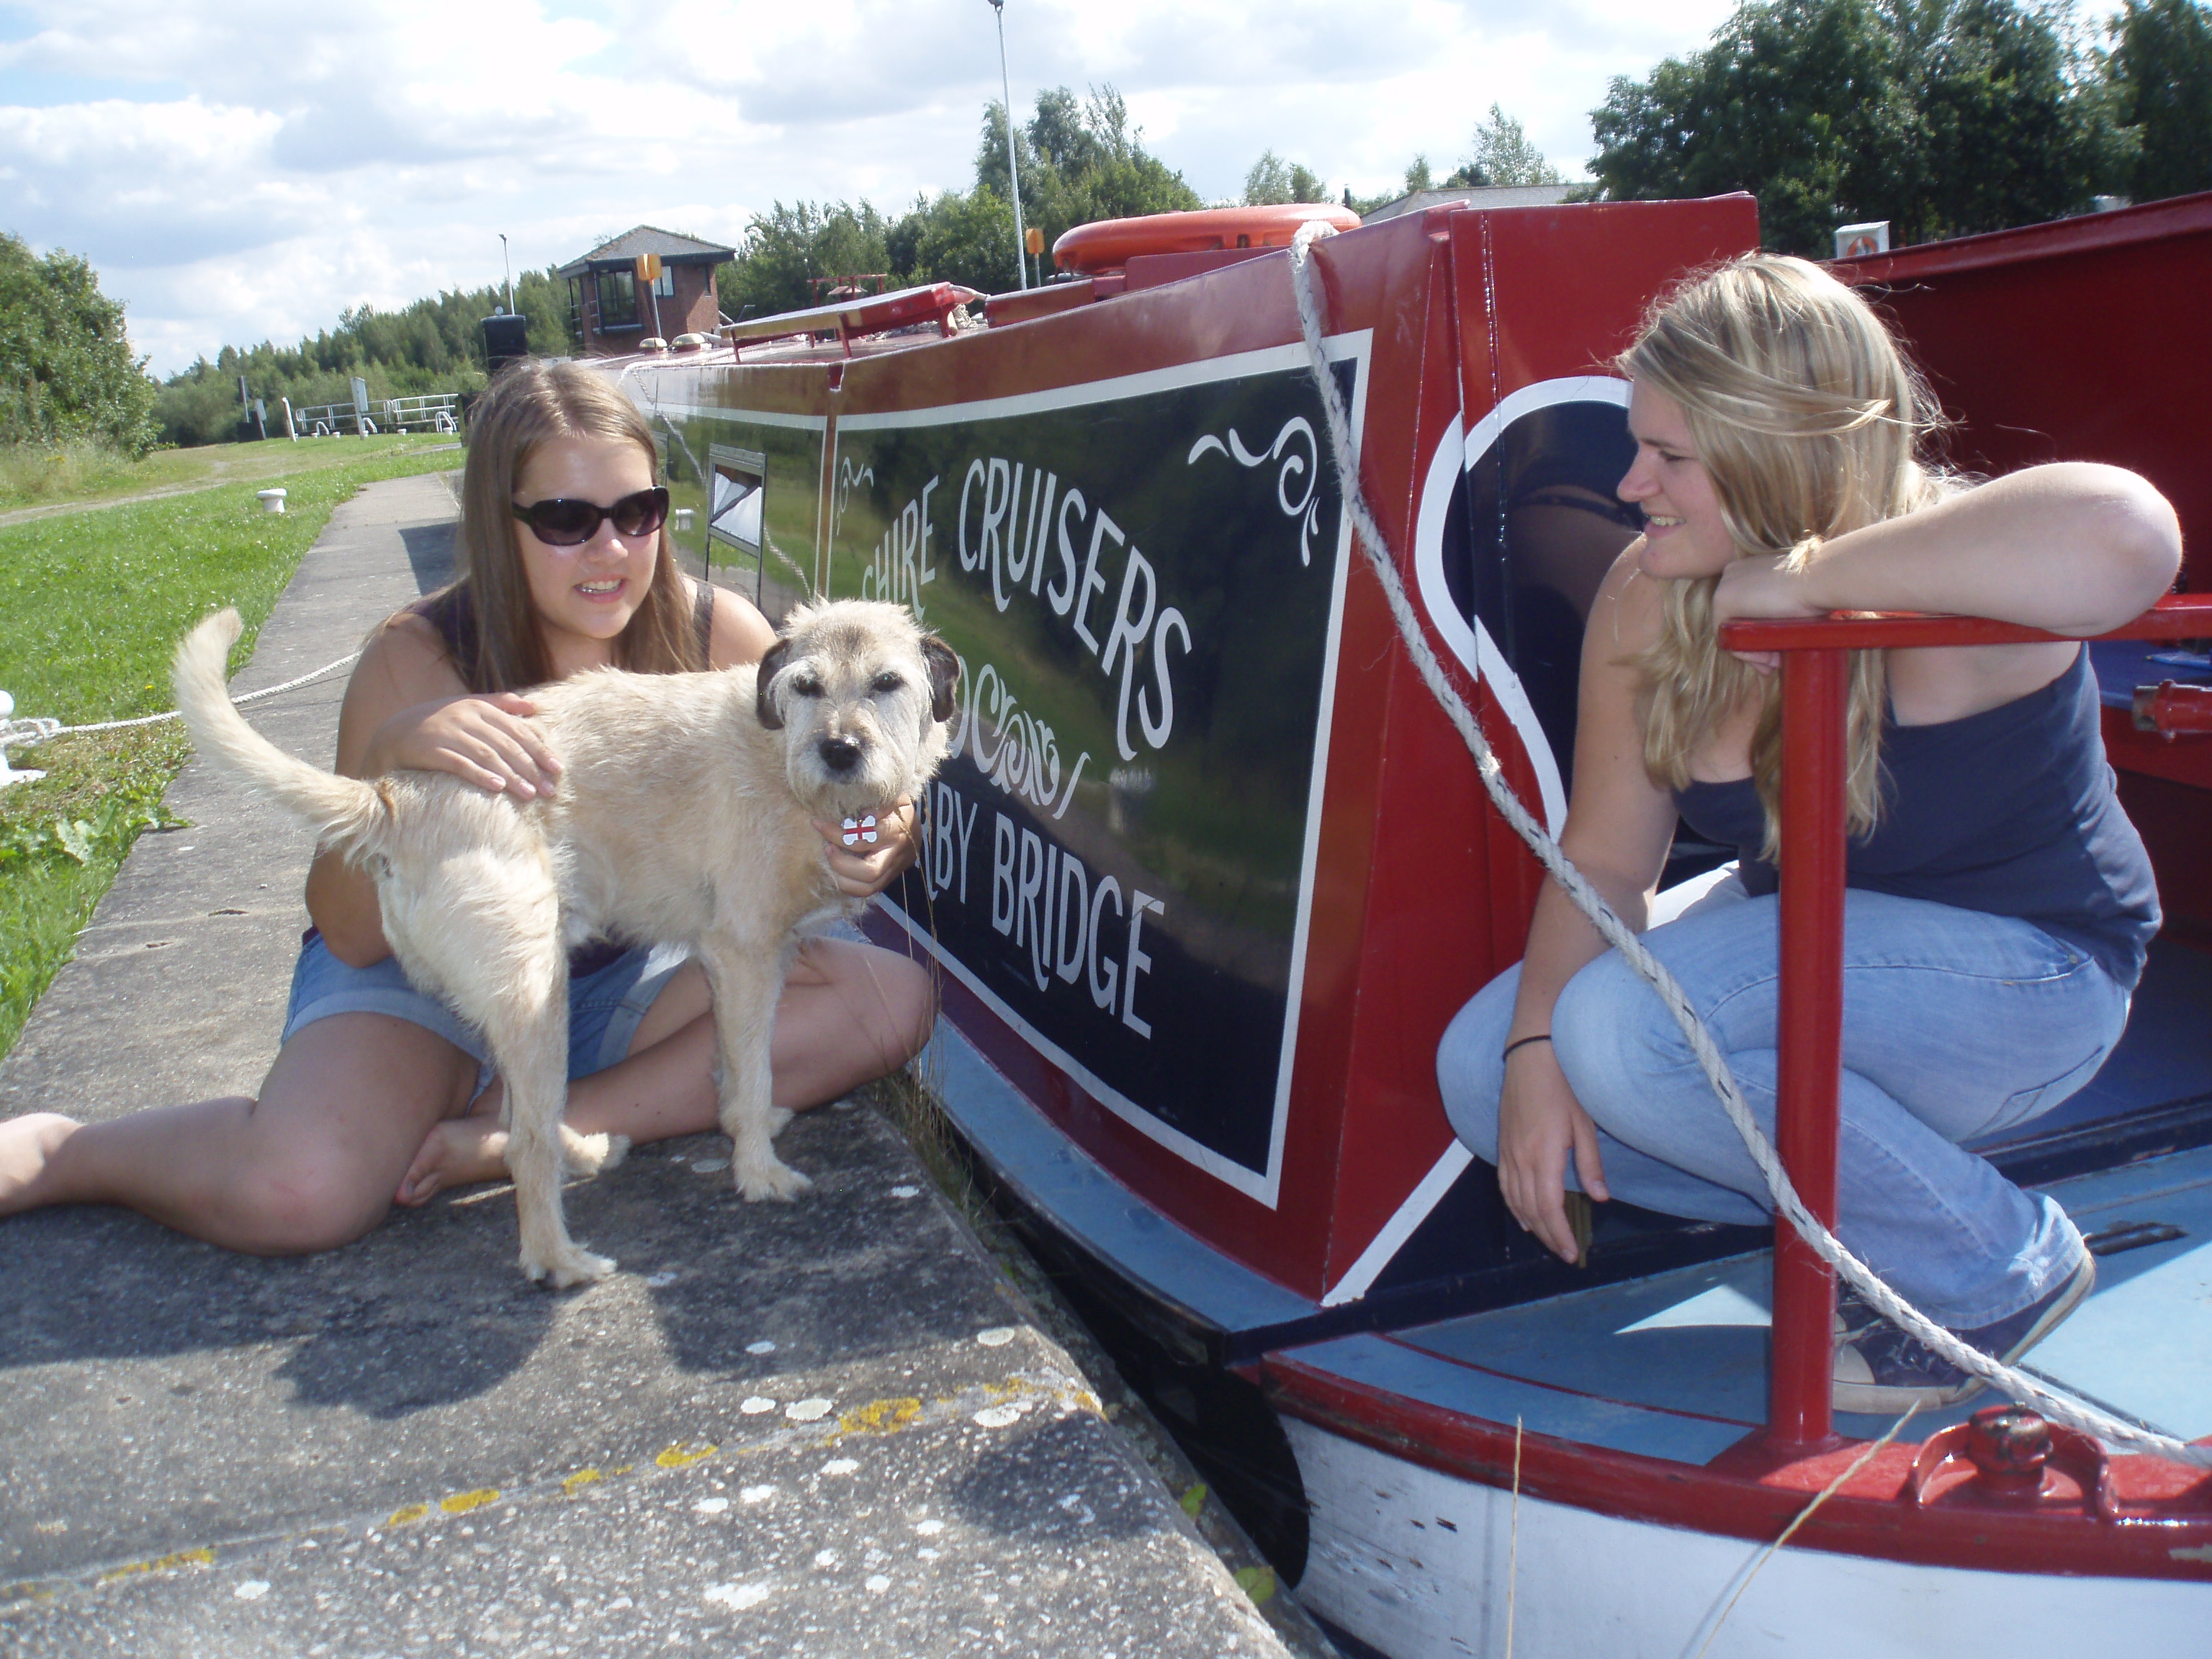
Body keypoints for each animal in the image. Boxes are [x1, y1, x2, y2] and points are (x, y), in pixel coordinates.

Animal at [174, 606, 960, 1292]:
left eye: (886, 683)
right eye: (806, 687)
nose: (839, 752)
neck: (778, 757)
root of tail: (394, 798)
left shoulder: (754, 962)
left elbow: (734, 1068)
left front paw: (747, 1130)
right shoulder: (743, 954)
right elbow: (757, 1069)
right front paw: (758, 1173)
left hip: (515, 999)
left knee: (519, 1116)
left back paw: (586, 1152)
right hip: (535, 994)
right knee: (525, 1142)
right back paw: (559, 1260)